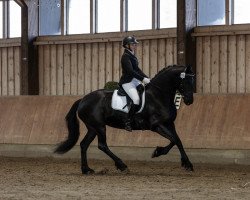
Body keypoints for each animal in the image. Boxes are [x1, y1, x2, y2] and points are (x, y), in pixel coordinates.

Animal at [54, 65, 195, 173]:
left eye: (193, 81)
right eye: (186, 81)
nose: (189, 101)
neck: (159, 95)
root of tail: (83, 99)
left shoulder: (169, 124)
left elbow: (177, 140)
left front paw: (182, 161)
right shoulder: (157, 126)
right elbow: (174, 140)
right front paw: (161, 153)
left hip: (92, 128)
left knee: (84, 145)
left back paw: (86, 170)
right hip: (99, 126)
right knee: (102, 145)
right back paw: (122, 165)